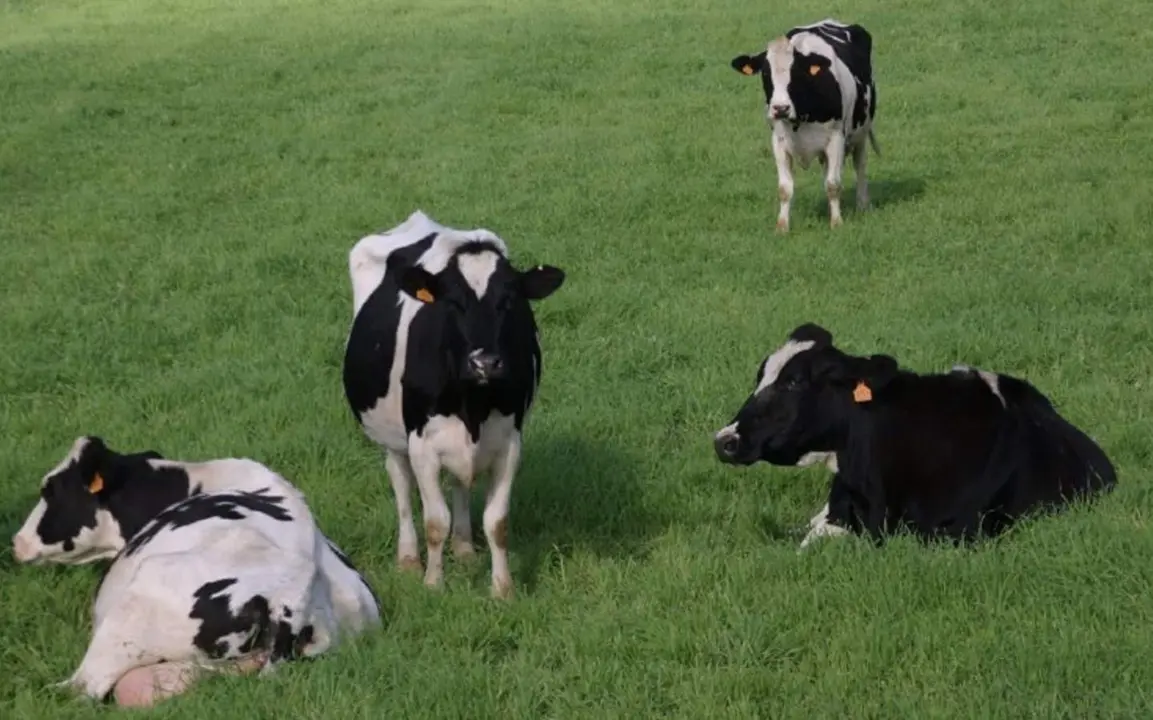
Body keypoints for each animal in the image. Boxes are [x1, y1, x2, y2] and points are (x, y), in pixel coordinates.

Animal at [343, 210, 565, 599]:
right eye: (453, 302)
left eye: (509, 301)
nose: (485, 362)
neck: (471, 402)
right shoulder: (422, 445)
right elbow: (434, 521)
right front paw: (433, 584)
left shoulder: (509, 442)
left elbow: (497, 522)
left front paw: (502, 589)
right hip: (393, 437)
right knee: (401, 486)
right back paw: (408, 559)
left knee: (461, 483)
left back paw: (463, 549)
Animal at [730, 18, 880, 232]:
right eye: (765, 73)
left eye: (797, 72)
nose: (780, 108)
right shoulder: (778, 141)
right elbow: (785, 188)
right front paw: (782, 226)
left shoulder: (836, 138)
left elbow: (833, 184)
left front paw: (837, 223)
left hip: (861, 131)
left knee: (860, 165)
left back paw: (862, 205)